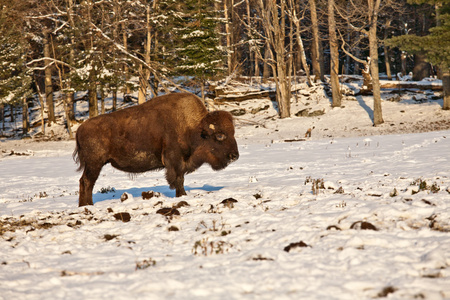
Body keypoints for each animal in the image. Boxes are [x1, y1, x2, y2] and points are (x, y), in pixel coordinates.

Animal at [74, 93, 239, 206]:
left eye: (233, 133)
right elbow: (179, 179)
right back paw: (87, 205)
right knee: (87, 182)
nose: (235, 156)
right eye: (220, 135)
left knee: (84, 182)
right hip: (94, 164)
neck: (194, 128)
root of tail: (80, 129)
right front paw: (182, 195)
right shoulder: (175, 161)